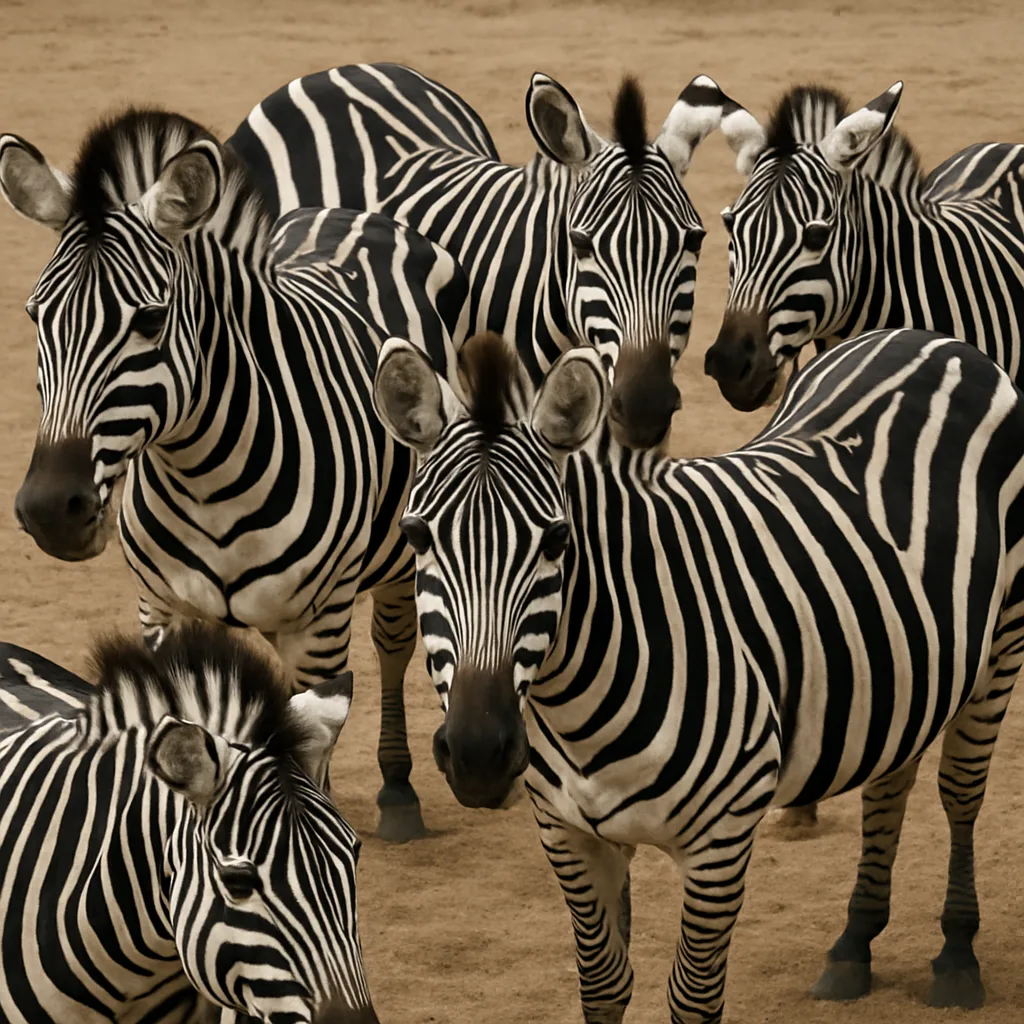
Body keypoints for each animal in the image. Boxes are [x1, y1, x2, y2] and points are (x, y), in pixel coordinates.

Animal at [0, 107, 470, 842]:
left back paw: (398, 790)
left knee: (392, 645)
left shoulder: (319, 629)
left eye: (150, 319)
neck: (207, 478)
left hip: (396, 550)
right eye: (34, 314)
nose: (51, 508)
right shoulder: (162, 612)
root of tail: (347, 210)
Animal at [372, 328, 1024, 1022]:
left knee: (961, 792)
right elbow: (602, 985)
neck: (579, 709)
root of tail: (930, 338)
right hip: (904, 664)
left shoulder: (722, 840)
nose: (477, 753)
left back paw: (957, 955)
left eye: (556, 542)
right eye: (416, 538)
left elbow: (693, 996)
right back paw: (855, 944)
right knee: (890, 780)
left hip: (1002, 643)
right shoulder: (568, 834)